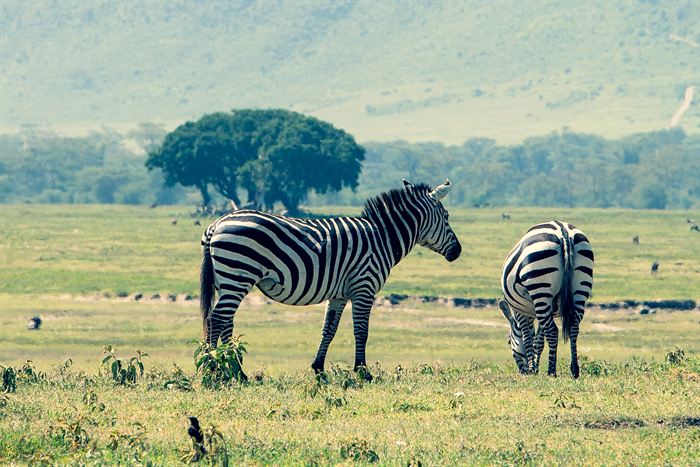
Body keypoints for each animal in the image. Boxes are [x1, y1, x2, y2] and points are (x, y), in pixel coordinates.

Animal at [200, 180, 462, 379]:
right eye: (447, 216)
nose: (457, 252)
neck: (382, 237)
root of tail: (216, 224)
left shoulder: (339, 294)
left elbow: (329, 329)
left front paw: (318, 369)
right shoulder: (364, 287)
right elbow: (361, 330)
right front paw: (363, 371)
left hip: (227, 280)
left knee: (226, 321)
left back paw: (235, 371)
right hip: (238, 274)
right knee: (217, 319)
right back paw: (214, 368)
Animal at [498, 221, 594, 378]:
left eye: (508, 341)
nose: (523, 372)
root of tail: (563, 231)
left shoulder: (522, 311)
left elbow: (528, 337)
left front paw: (532, 369)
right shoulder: (546, 310)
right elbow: (538, 340)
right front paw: (535, 367)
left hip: (540, 286)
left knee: (553, 331)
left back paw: (551, 371)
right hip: (580, 286)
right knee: (573, 326)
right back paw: (574, 369)